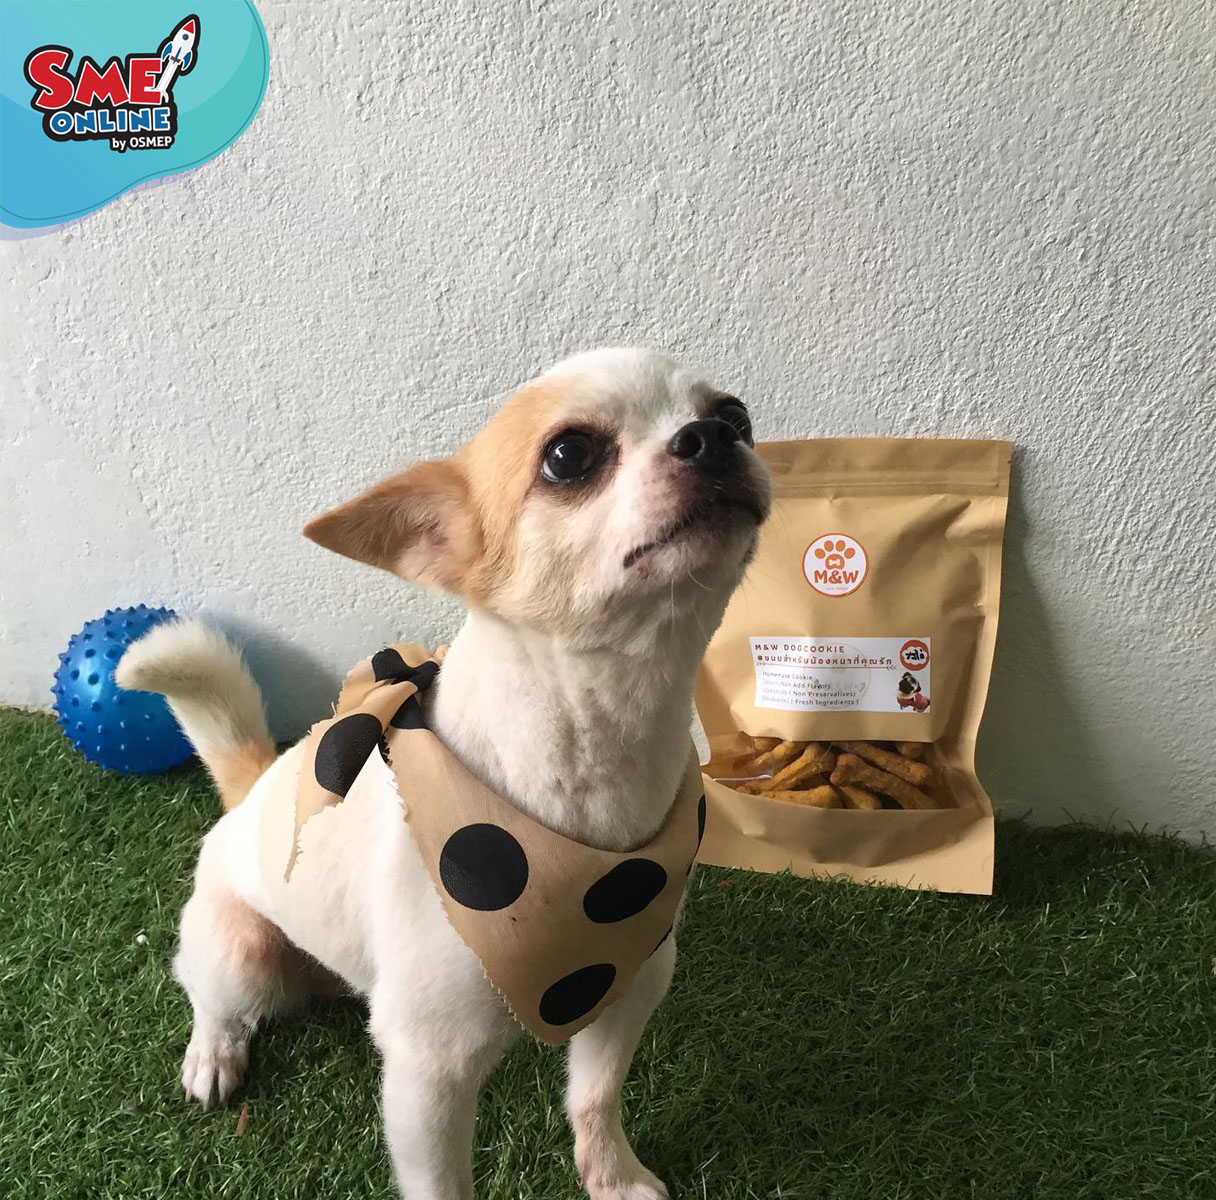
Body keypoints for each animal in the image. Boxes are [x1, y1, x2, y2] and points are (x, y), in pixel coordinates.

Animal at [116, 348, 771, 1200]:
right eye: (569, 456)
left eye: (736, 415)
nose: (713, 437)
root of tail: (251, 791)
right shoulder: (429, 1076)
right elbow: (443, 1185)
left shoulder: (632, 986)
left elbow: (594, 1097)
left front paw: (613, 1176)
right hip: (241, 952)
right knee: (211, 995)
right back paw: (213, 1053)